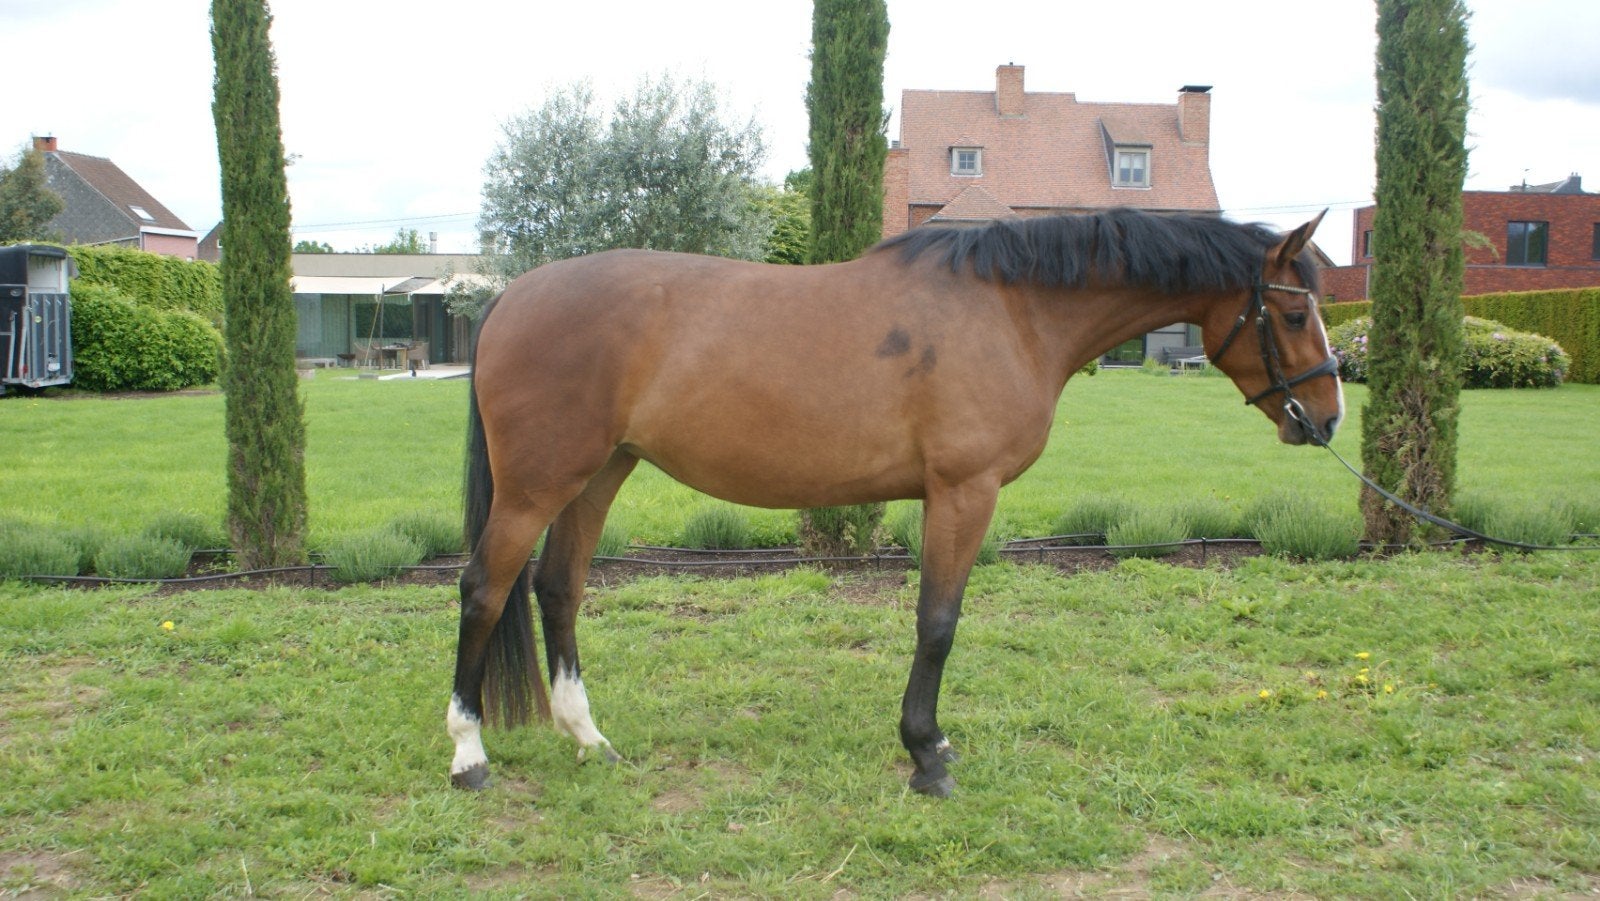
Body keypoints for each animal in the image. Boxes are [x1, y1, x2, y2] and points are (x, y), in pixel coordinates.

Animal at [447, 207, 1343, 797]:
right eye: (1296, 310)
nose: (1326, 416)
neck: (1010, 310)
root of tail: (511, 296)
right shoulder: (962, 492)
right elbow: (937, 622)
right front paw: (927, 754)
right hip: (538, 484)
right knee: (485, 589)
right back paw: (469, 753)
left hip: (600, 472)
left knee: (557, 588)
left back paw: (587, 738)